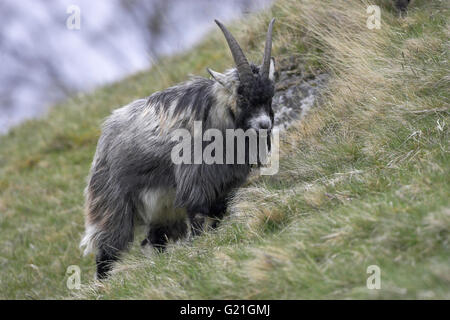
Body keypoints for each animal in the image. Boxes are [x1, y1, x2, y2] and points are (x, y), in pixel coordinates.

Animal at [81, 19, 278, 280]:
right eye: (242, 96)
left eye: (270, 96)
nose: (264, 125)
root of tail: (105, 134)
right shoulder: (195, 183)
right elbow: (197, 220)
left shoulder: (224, 185)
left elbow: (218, 216)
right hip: (111, 205)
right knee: (107, 252)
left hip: (160, 211)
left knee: (153, 241)